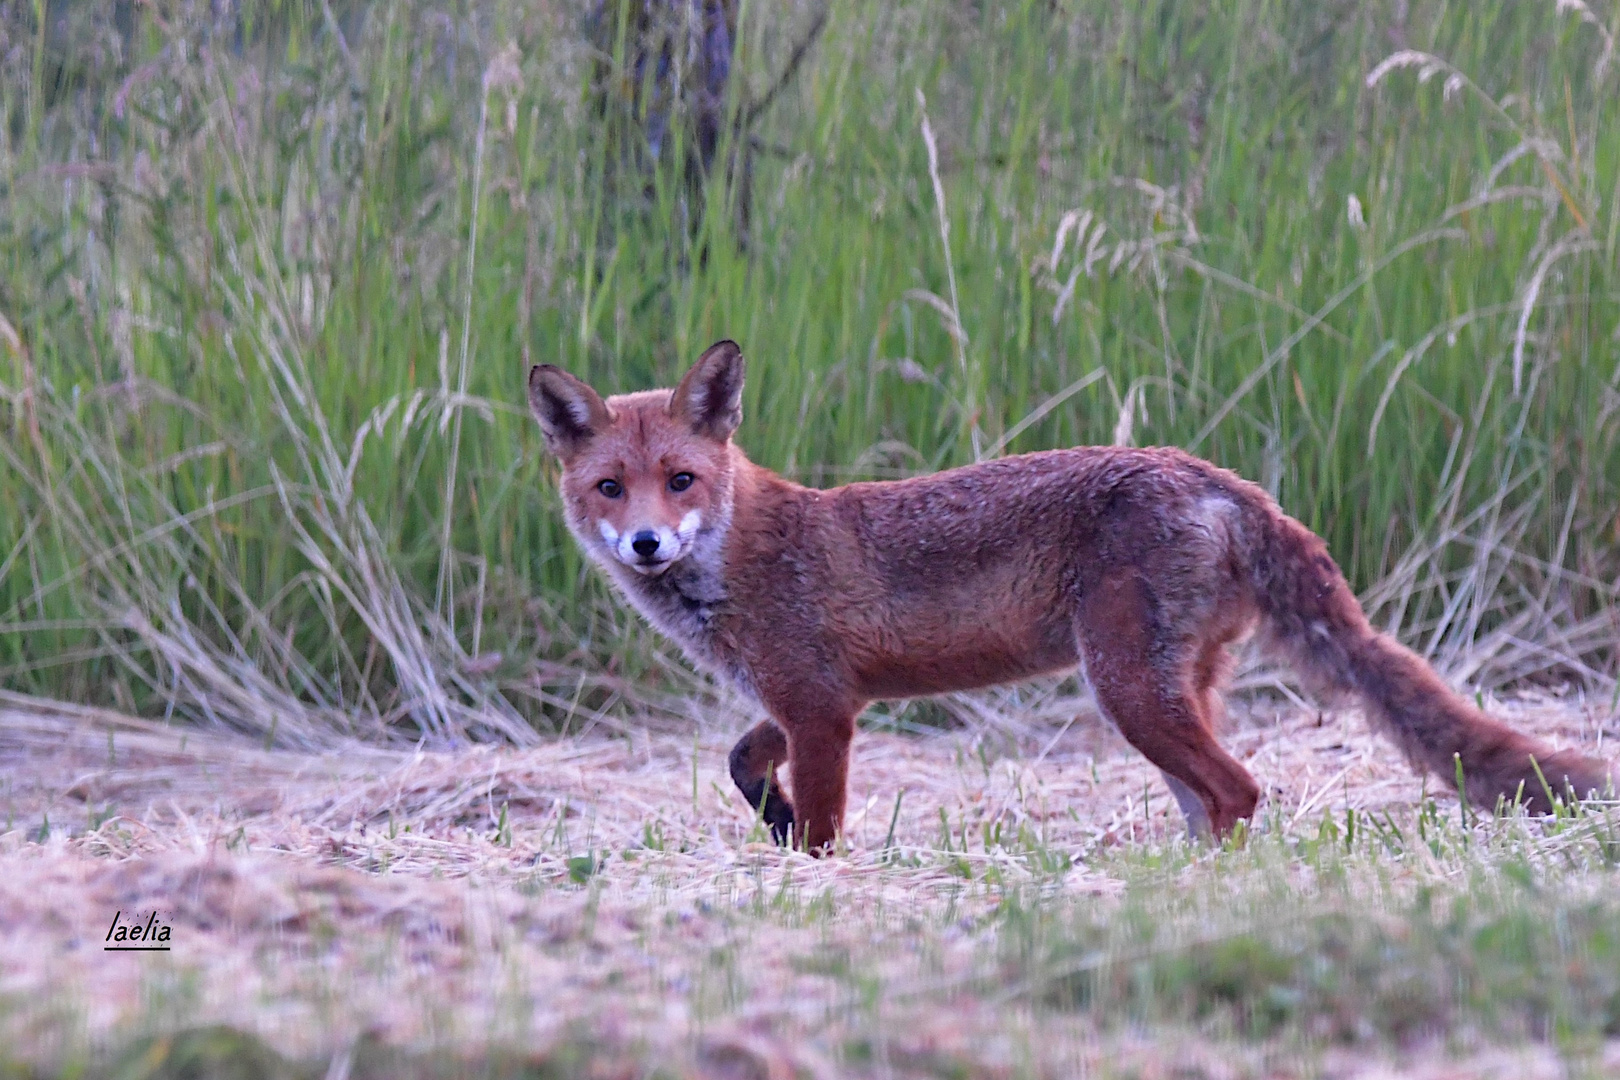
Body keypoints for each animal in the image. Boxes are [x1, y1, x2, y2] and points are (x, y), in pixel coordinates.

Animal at [528, 340, 1607, 854]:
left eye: (681, 481)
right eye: (610, 488)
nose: (647, 544)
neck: (742, 560)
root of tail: (1219, 479)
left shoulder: (825, 711)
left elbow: (825, 819)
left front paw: (810, 870)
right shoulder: (805, 700)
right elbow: (740, 760)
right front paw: (775, 819)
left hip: (1126, 688)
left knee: (1240, 789)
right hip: (1174, 690)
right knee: (1217, 799)